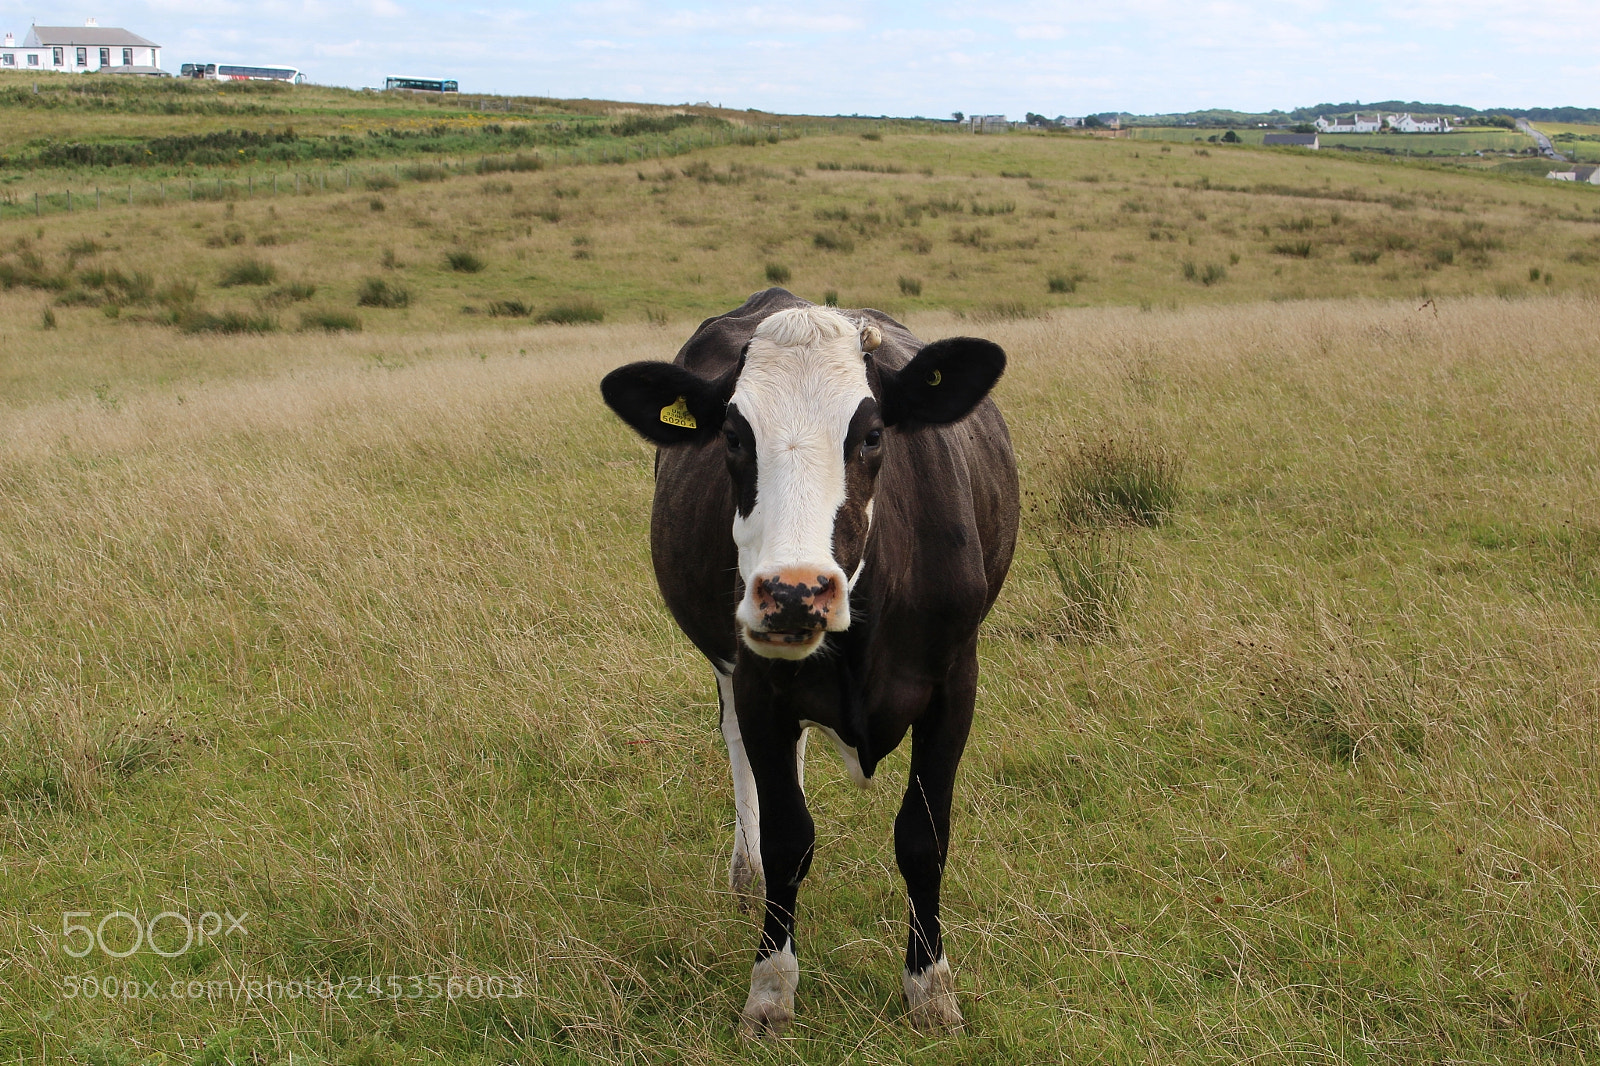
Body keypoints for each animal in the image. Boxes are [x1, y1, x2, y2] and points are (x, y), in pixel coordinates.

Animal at [600, 288, 1019, 1037]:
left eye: (873, 434)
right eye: (733, 437)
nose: (795, 591)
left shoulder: (955, 685)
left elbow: (924, 836)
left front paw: (930, 990)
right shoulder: (759, 683)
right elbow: (788, 838)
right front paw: (770, 990)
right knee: (740, 754)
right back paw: (746, 872)